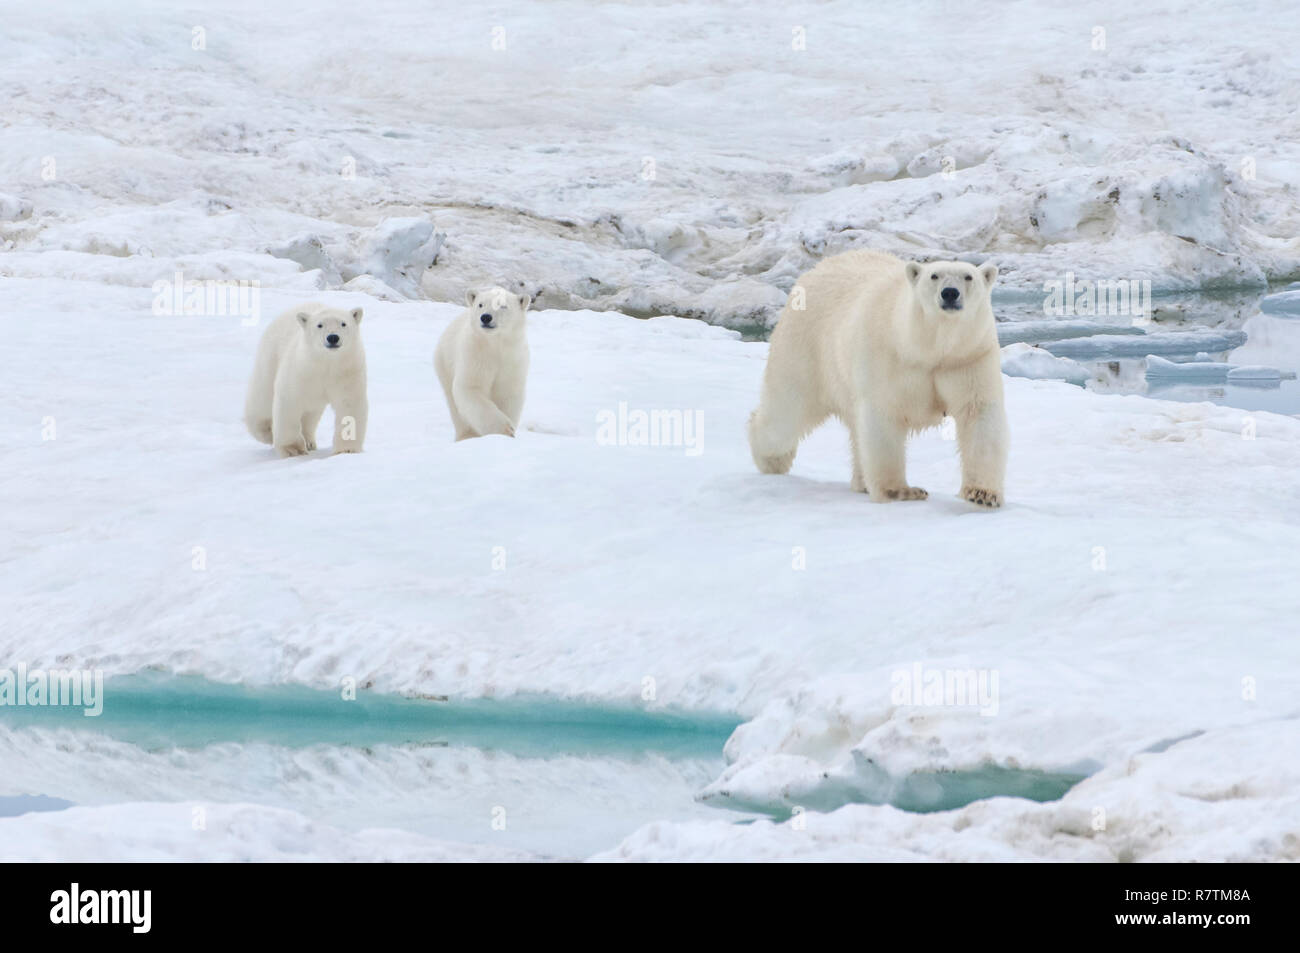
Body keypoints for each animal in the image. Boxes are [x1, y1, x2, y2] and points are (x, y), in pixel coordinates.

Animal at [244, 302, 369, 455]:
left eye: (343, 323)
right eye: (319, 325)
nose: (333, 337)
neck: (327, 364)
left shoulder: (347, 372)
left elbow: (349, 406)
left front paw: (346, 450)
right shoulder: (300, 371)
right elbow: (290, 402)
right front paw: (293, 450)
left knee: (311, 413)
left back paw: (309, 442)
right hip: (270, 357)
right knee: (262, 399)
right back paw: (267, 431)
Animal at [434, 286, 530, 439]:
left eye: (503, 306)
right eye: (480, 304)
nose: (485, 317)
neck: (495, 345)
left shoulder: (513, 360)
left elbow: (508, 392)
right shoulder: (475, 355)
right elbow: (471, 388)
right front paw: (504, 429)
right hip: (444, 363)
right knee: (455, 407)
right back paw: (467, 435)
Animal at [748, 249, 1008, 509]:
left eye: (968, 276)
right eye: (934, 276)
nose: (950, 293)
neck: (927, 347)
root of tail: (815, 269)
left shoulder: (969, 357)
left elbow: (978, 414)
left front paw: (983, 494)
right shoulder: (889, 356)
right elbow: (883, 415)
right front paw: (901, 491)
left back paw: (861, 482)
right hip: (807, 348)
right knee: (786, 410)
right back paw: (771, 459)